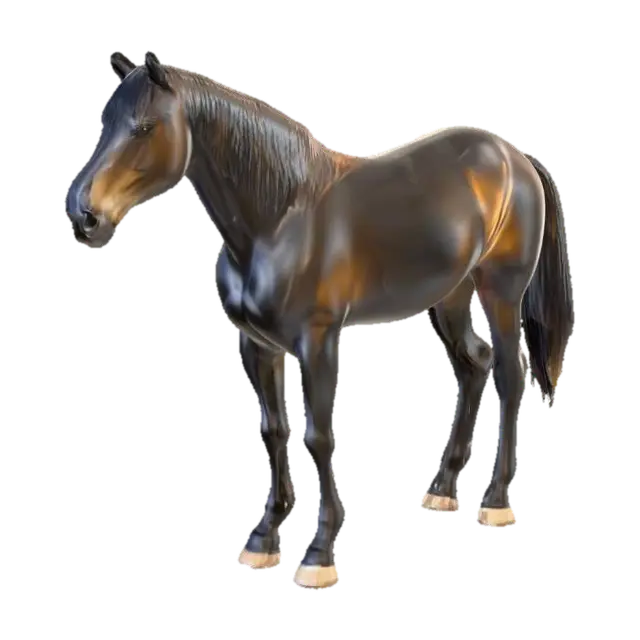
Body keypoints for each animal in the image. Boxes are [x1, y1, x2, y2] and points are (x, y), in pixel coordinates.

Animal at [66, 51, 574, 588]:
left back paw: (495, 501)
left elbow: (318, 436)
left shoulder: (319, 341)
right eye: (105, 124)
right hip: (451, 295)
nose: (83, 216)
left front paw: (319, 552)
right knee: (474, 365)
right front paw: (263, 540)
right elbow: (272, 430)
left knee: (510, 372)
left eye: (144, 127)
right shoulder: (258, 345)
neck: (280, 217)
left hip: (500, 291)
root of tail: (515, 157)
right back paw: (442, 486)